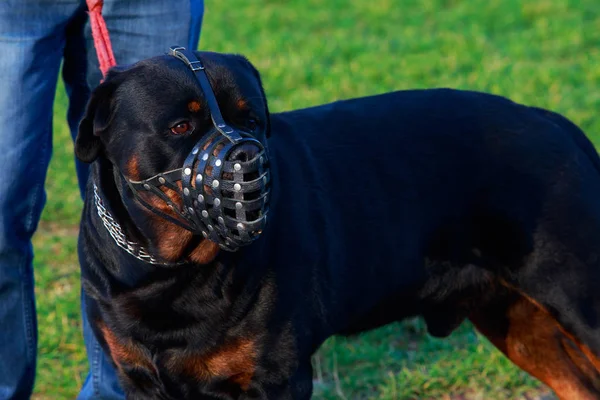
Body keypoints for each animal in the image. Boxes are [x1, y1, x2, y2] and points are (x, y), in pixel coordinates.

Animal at [77, 48, 600, 398]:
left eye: (253, 120)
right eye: (181, 127)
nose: (248, 157)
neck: (170, 273)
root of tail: (556, 122)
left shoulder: (276, 377)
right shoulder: (139, 379)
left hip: (577, 301)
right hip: (518, 320)